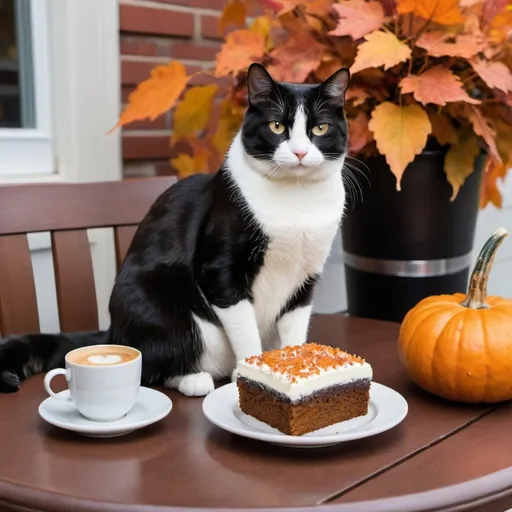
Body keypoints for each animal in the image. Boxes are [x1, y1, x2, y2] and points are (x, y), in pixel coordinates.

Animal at [0, 63, 350, 396]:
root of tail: (113, 331)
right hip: (161, 303)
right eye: (277, 126)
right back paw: (194, 380)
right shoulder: (220, 270)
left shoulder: (305, 277)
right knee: (155, 363)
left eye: (320, 128)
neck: (296, 200)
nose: (300, 152)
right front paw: (249, 373)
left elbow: (295, 330)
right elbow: (245, 330)